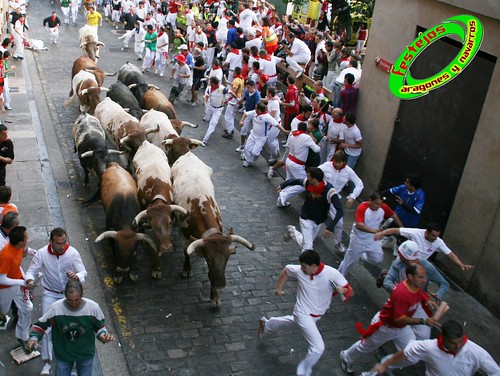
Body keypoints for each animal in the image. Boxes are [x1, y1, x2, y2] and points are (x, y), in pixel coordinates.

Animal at [174, 151, 256, 306]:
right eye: (210, 259)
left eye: (227, 258)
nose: (221, 284)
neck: (199, 206)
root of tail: (188, 153)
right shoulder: (183, 236)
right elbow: (186, 253)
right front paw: (186, 269)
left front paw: (215, 295)